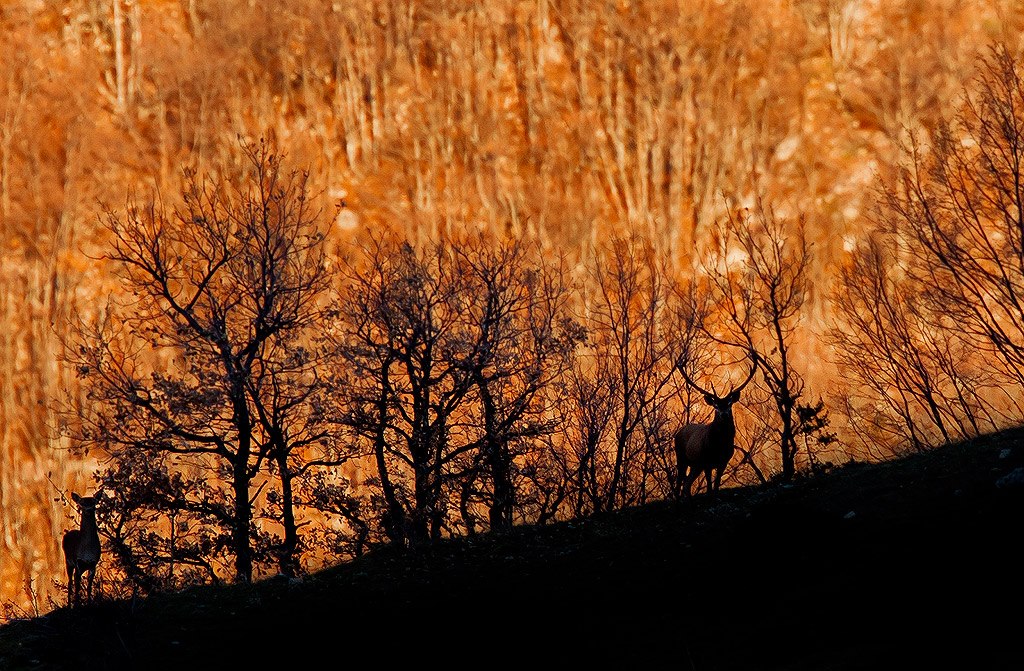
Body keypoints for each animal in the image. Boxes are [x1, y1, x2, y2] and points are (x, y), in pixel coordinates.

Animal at [674, 355, 757, 499]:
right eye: (716, 406)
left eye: (729, 403)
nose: (724, 414)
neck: (719, 445)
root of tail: (678, 432)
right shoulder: (706, 460)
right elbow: (708, 483)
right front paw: (710, 495)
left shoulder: (723, 460)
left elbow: (717, 482)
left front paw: (716, 494)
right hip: (681, 457)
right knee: (680, 481)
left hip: (695, 465)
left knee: (687, 482)